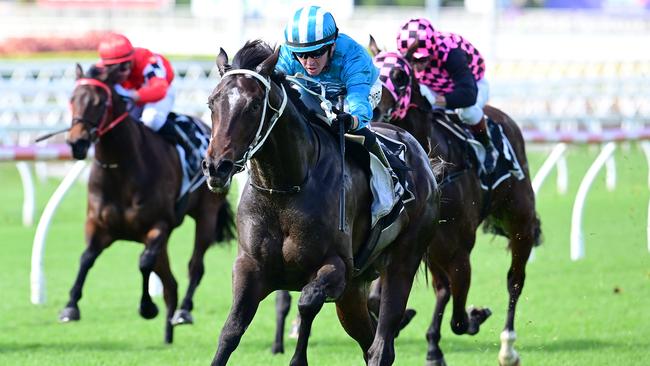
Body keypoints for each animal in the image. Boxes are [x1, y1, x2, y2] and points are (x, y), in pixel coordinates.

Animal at [63, 63, 234, 344]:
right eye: (72, 99)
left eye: (99, 103)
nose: (76, 142)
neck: (121, 168)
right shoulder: (98, 225)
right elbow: (86, 258)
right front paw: (70, 306)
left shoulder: (158, 226)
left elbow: (144, 263)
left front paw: (147, 307)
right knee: (170, 284)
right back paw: (167, 335)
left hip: (206, 214)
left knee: (195, 266)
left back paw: (183, 312)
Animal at [201, 40, 436, 366]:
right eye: (212, 103)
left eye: (253, 106)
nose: (216, 167)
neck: (283, 190)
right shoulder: (250, 267)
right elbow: (231, 329)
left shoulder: (337, 268)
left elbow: (307, 302)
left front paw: (298, 358)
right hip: (353, 291)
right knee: (368, 340)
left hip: (402, 259)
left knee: (381, 344)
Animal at [368, 45, 540, 366]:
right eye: (374, 68)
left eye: (399, 76)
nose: (373, 108)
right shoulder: (413, 247)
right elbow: (377, 299)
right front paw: (404, 319)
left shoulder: (459, 252)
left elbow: (460, 319)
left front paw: (477, 315)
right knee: (443, 289)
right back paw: (433, 347)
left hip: (520, 222)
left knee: (514, 280)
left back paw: (508, 347)